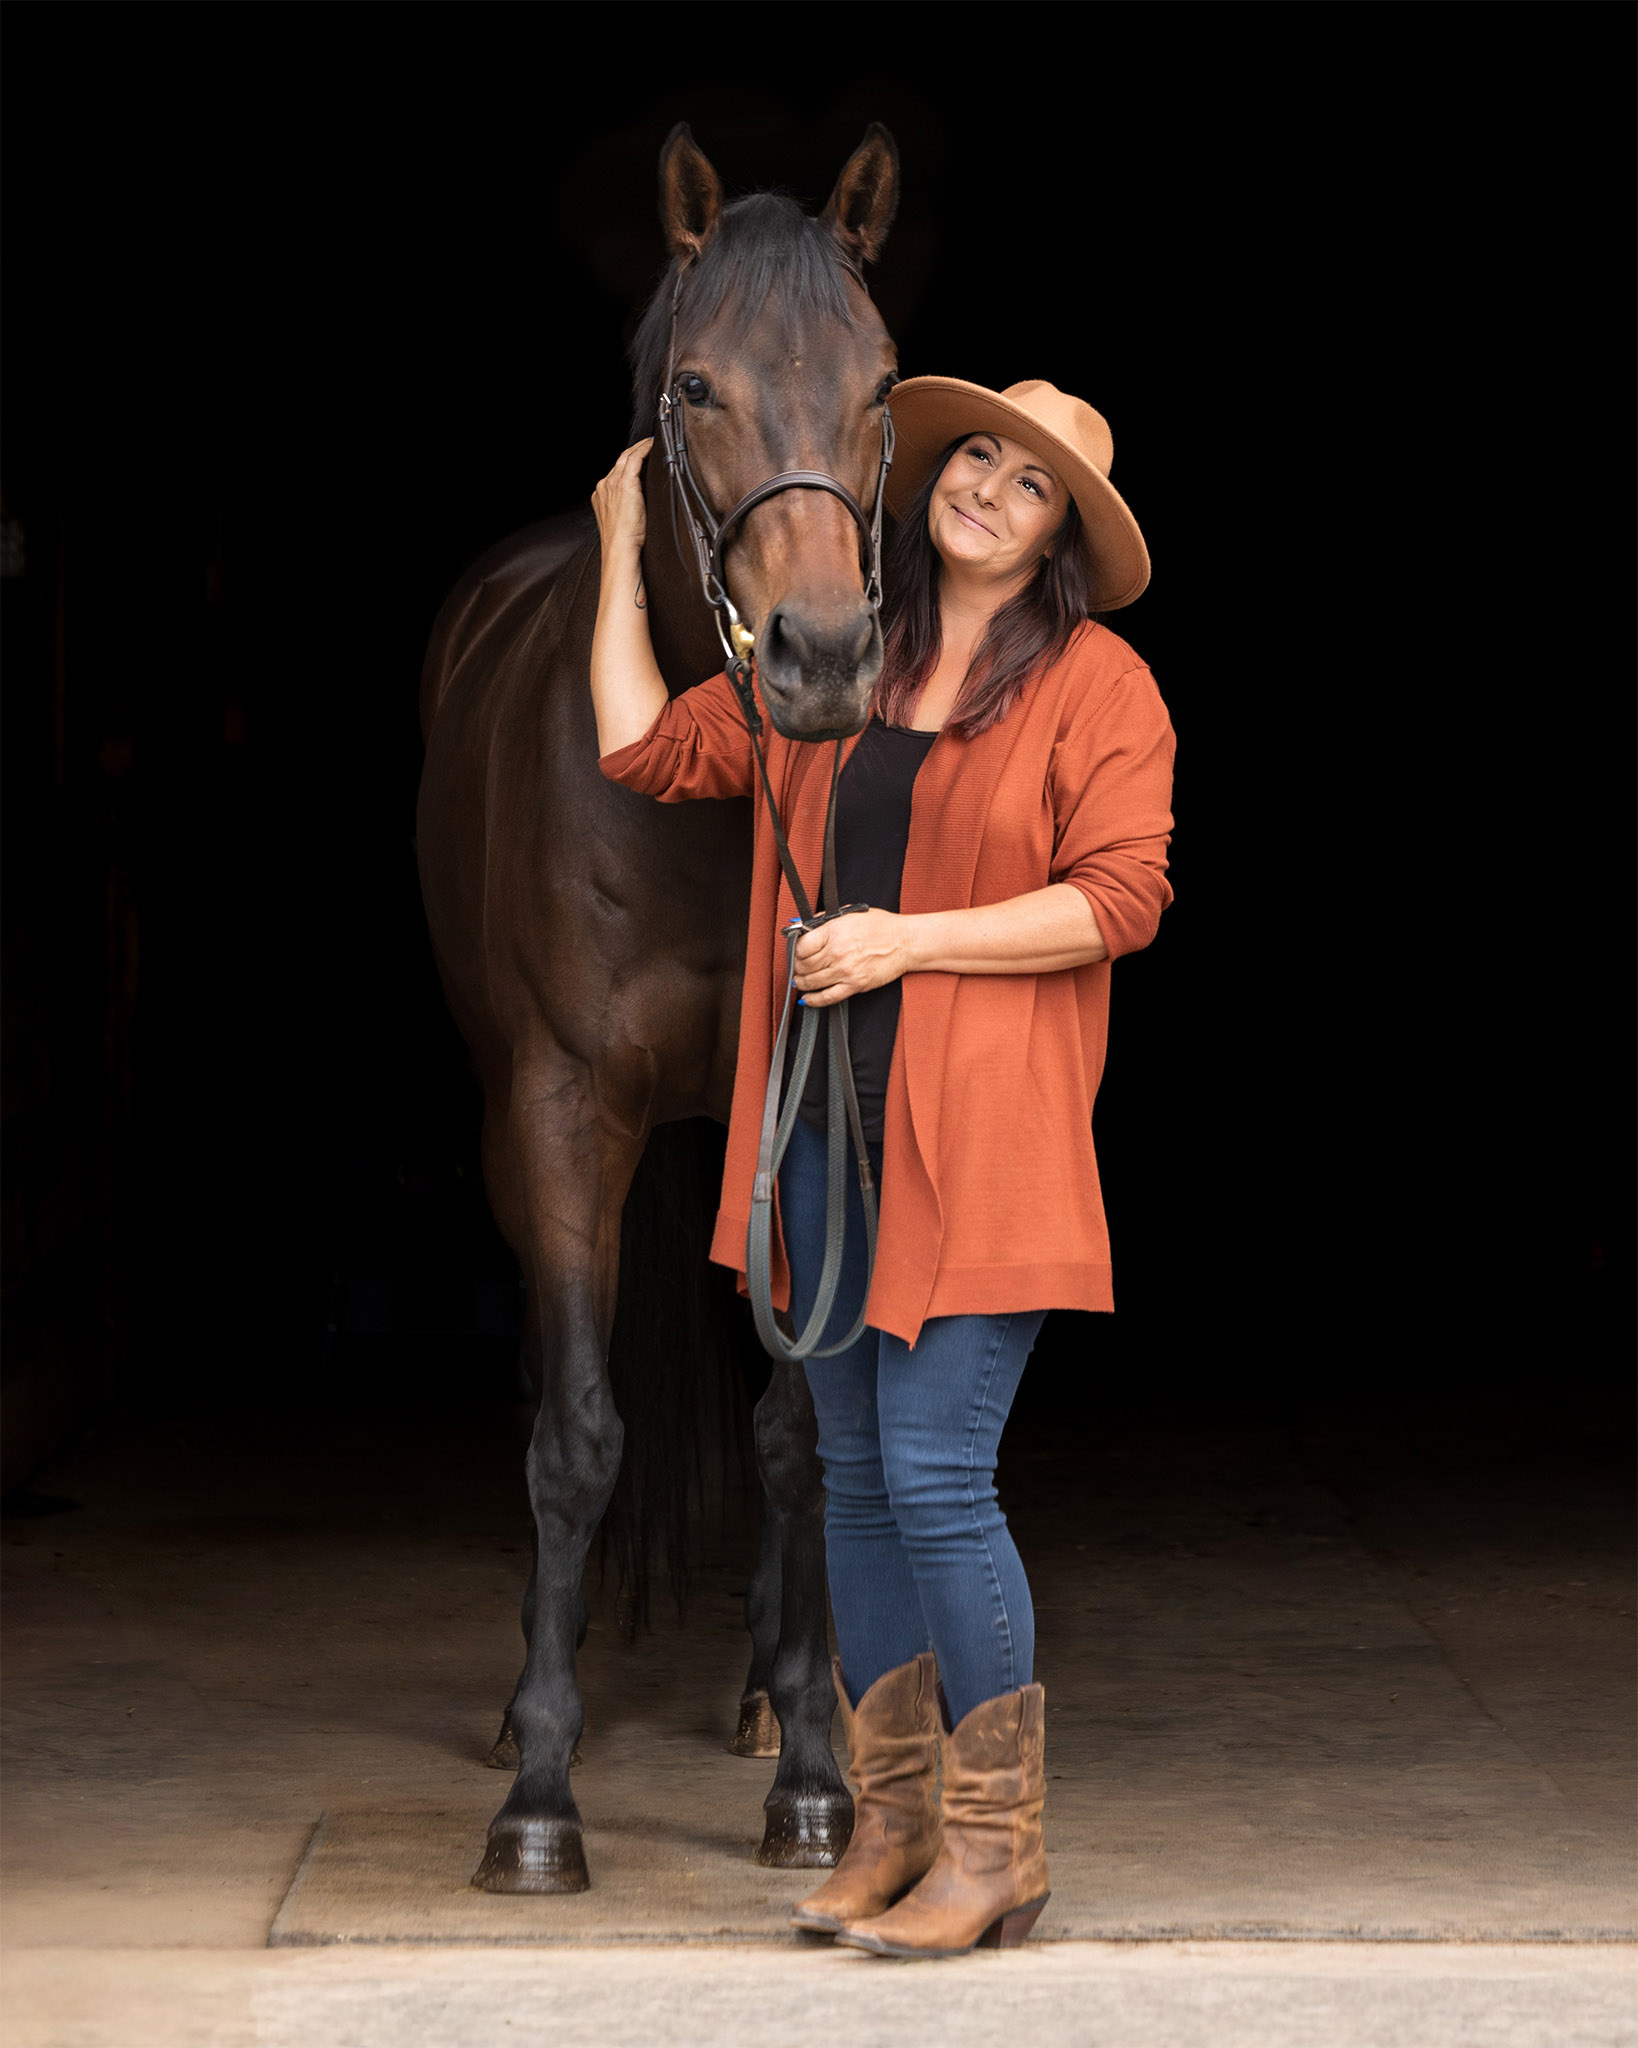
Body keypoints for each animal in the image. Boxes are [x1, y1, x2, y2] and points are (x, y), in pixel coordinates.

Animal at [416, 122, 902, 1893]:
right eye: (696, 386)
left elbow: (800, 1435)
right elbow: (574, 1432)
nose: (822, 659)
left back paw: (770, 1692)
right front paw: (541, 1798)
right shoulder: (558, 1116)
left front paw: (815, 1772)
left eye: (881, 383)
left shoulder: (805, 1119)